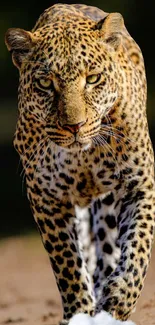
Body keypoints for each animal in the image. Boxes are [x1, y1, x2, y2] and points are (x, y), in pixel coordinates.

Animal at [4, 3, 155, 324]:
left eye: (93, 78)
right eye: (46, 83)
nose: (75, 126)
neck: (84, 155)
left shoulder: (138, 183)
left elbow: (138, 247)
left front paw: (120, 300)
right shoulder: (46, 196)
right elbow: (68, 262)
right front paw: (79, 312)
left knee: (109, 249)